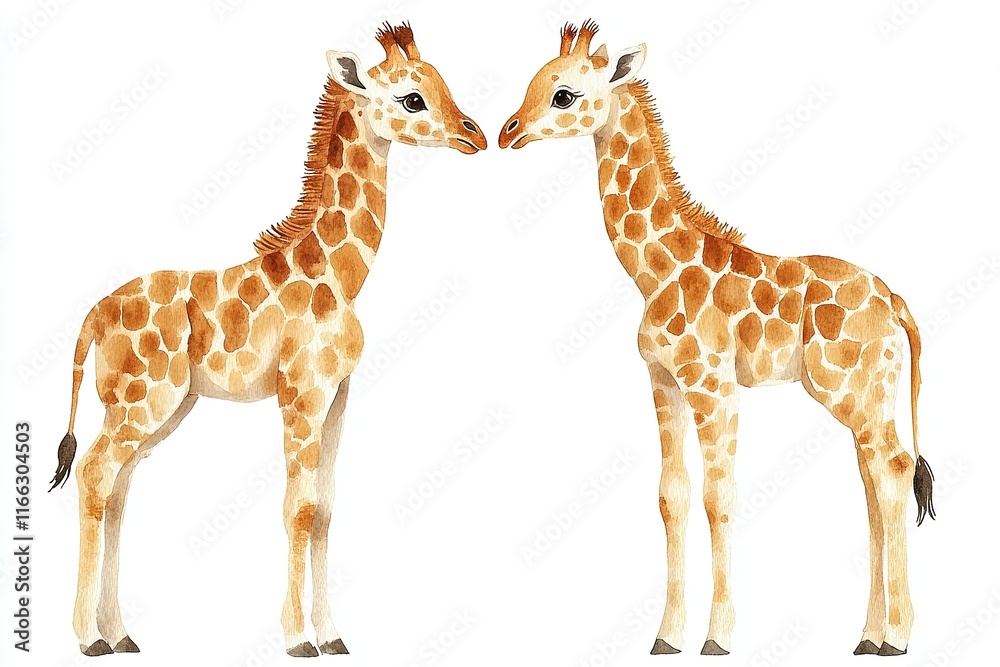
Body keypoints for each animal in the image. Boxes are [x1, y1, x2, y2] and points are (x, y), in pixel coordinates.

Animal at [50, 23, 486, 658]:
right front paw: (297, 639)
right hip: (143, 400)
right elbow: (297, 509)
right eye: (412, 98)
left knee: (117, 488)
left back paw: (121, 634)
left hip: (162, 405)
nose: (474, 134)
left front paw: (333, 637)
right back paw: (89, 639)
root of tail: (90, 319)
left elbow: (324, 510)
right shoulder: (299, 394)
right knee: (94, 475)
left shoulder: (338, 396)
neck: (341, 276)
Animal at [499, 20, 935, 657]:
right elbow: (672, 496)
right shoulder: (663, 381)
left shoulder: (714, 386)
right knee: (875, 481)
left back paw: (897, 637)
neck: (655, 270)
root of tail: (896, 302)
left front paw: (718, 636)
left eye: (564, 94)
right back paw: (868, 637)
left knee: (896, 471)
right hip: (865, 395)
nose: (507, 132)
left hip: (850, 389)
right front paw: (666, 636)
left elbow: (718, 496)